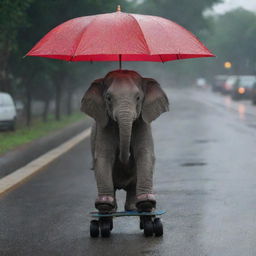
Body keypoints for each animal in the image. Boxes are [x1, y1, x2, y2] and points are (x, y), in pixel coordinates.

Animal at [81, 69, 169, 213]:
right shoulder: (104, 126)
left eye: (138, 98)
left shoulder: (143, 123)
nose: (125, 157)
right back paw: (110, 209)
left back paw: (136, 207)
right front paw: (104, 205)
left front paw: (147, 202)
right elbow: (103, 156)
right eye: (108, 98)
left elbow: (144, 154)